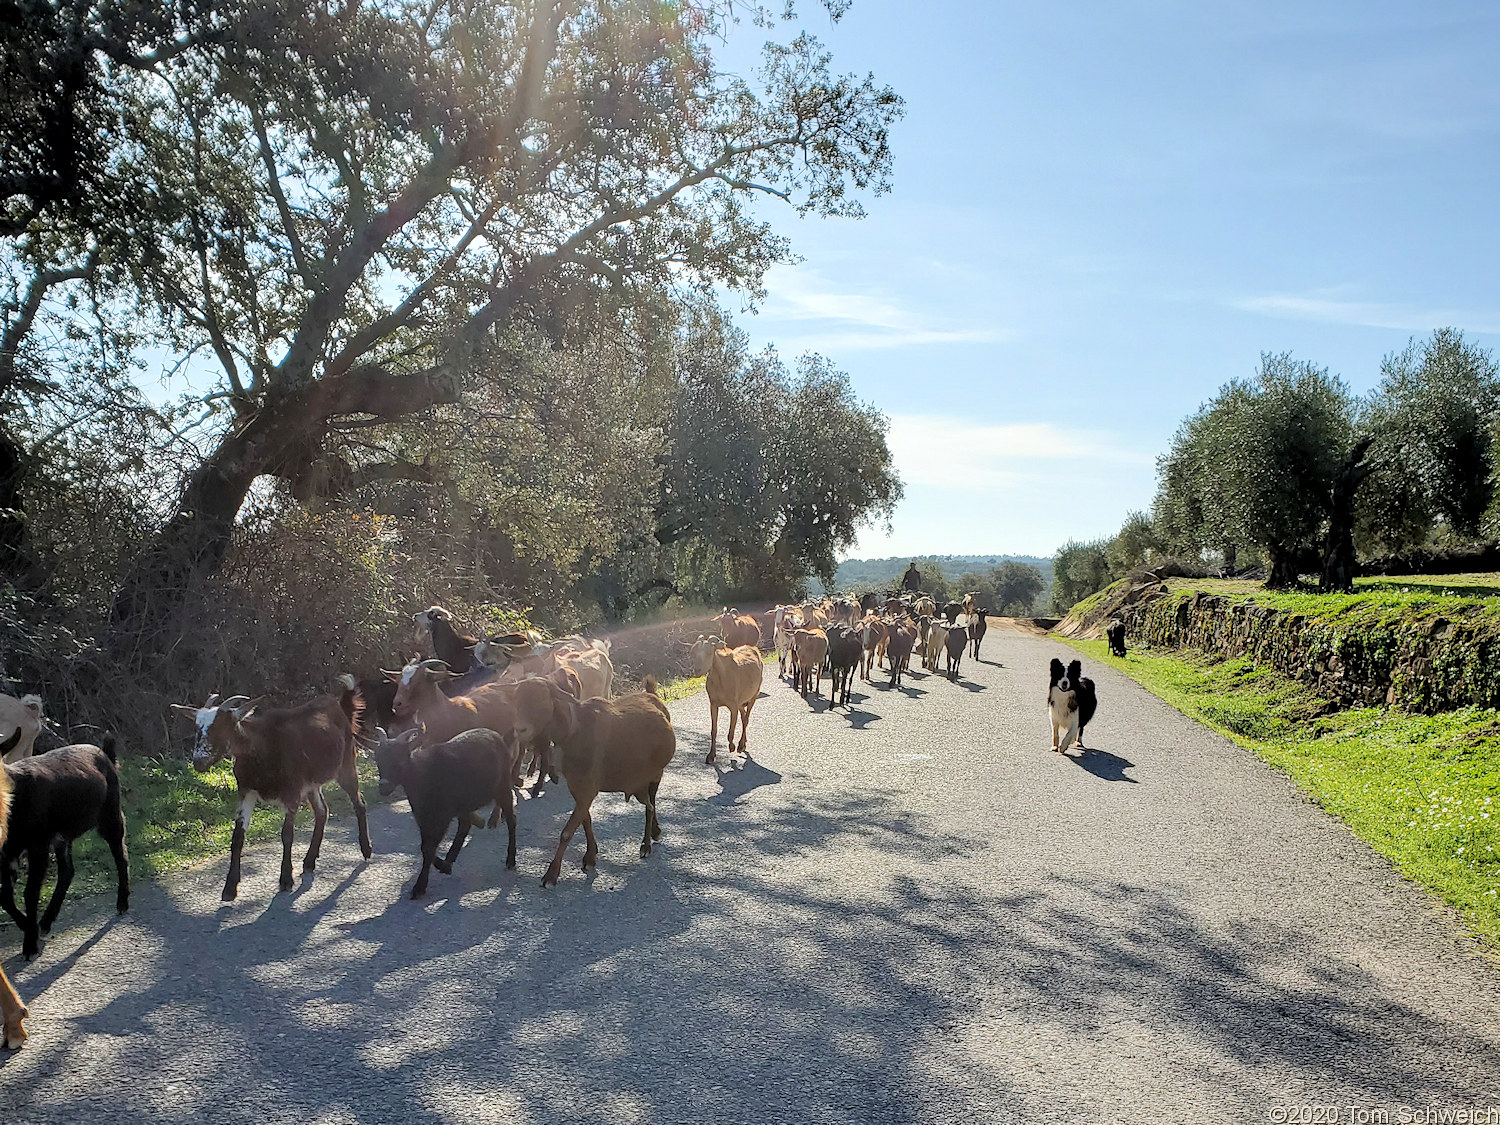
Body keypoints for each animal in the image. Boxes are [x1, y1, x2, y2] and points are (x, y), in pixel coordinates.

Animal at [0, 741, 127, 960]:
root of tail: (105, 753)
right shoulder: (8, 854)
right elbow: (5, 897)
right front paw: (29, 927)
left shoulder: (38, 845)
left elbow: (30, 893)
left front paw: (30, 944)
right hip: (63, 836)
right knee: (67, 871)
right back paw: (46, 921)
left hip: (109, 814)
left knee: (121, 857)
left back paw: (122, 903)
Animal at [173, 675, 372, 906]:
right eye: (197, 728)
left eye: (221, 726)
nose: (199, 761)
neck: (262, 749)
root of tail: (340, 706)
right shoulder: (246, 791)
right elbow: (237, 837)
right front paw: (230, 888)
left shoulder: (292, 793)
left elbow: (287, 834)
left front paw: (285, 879)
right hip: (312, 784)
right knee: (322, 811)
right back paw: (309, 861)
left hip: (346, 765)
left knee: (359, 803)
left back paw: (366, 849)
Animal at [370, 732, 522, 900]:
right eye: (378, 759)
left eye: (400, 758)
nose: (383, 787)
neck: (423, 776)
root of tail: (496, 736)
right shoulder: (422, 816)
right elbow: (426, 847)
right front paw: (442, 867)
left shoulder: (442, 815)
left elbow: (428, 848)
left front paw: (419, 887)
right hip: (464, 803)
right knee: (465, 825)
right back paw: (449, 860)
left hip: (503, 787)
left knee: (511, 821)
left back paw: (510, 860)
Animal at [543, 678, 678, 888]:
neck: (573, 733)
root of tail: (653, 695)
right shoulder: (578, 789)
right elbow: (586, 821)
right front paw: (590, 856)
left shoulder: (587, 790)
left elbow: (567, 832)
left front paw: (551, 875)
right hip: (641, 784)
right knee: (650, 804)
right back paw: (653, 834)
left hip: (654, 774)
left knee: (650, 805)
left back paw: (646, 844)